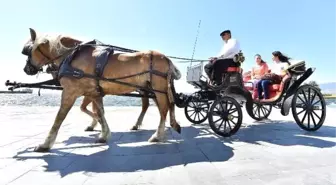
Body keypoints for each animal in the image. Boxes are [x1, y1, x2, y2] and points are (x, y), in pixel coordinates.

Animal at [22, 27, 182, 152]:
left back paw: (157, 135)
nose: (26, 69)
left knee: (164, 109)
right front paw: (103, 133)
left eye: (28, 50)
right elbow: (99, 112)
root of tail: (166, 58)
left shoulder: (70, 92)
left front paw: (45, 144)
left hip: (158, 89)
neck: (72, 56)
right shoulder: (94, 93)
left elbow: (59, 117)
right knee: (165, 105)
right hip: (153, 89)